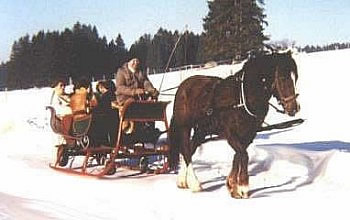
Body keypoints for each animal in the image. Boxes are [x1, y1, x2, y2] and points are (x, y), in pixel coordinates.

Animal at [168, 50, 300, 199]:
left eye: (295, 77)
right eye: (283, 78)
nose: (293, 108)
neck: (243, 98)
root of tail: (183, 85)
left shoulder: (248, 134)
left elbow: (238, 155)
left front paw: (232, 185)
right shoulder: (230, 134)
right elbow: (243, 155)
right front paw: (242, 187)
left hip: (201, 130)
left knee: (191, 148)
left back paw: (182, 180)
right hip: (185, 126)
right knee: (185, 150)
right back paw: (194, 183)